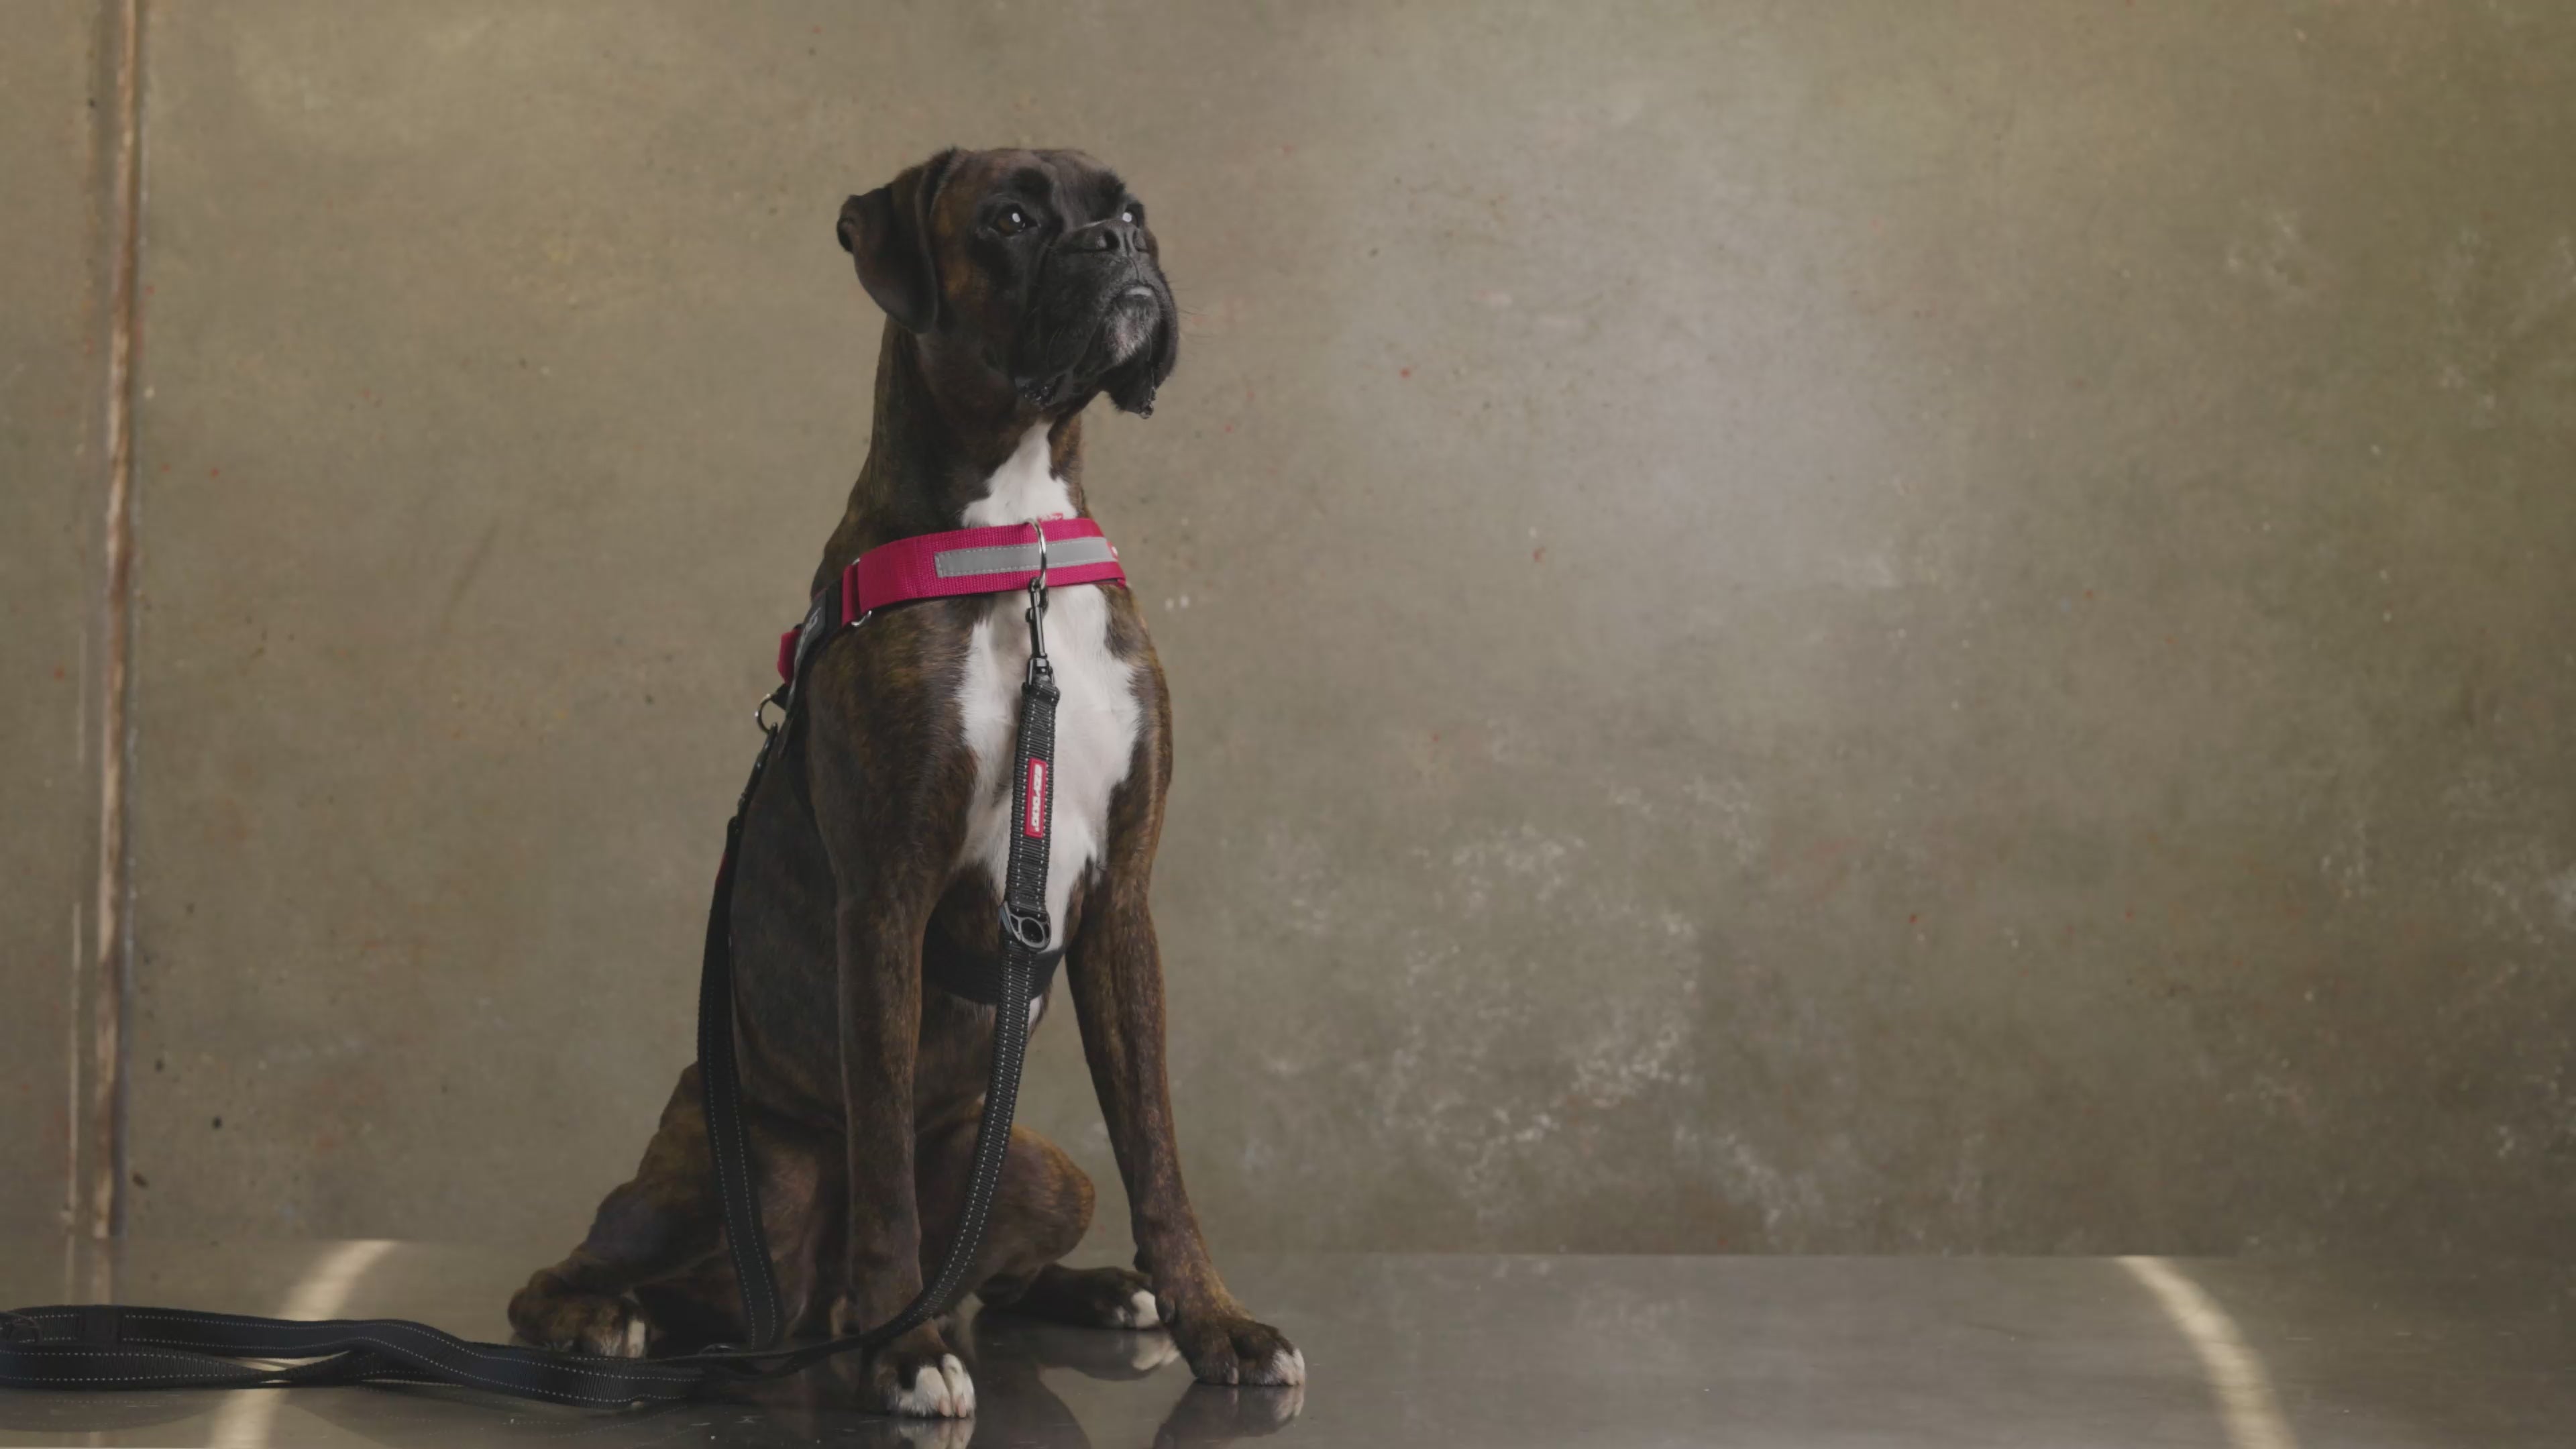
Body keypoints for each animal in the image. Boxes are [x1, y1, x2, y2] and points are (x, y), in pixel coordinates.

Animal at [506, 148, 1302, 1418]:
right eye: (1012, 217)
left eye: (1130, 210)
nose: (1122, 250)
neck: (1018, 544)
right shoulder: (884, 900)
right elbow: (880, 1152)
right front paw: (904, 1354)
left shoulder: (1123, 906)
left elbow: (1160, 1154)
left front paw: (1214, 1323)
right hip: (726, 1169)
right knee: (609, 1271)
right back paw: (620, 1319)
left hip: (1033, 1160)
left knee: (986, 1273)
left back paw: (1093, 1292)